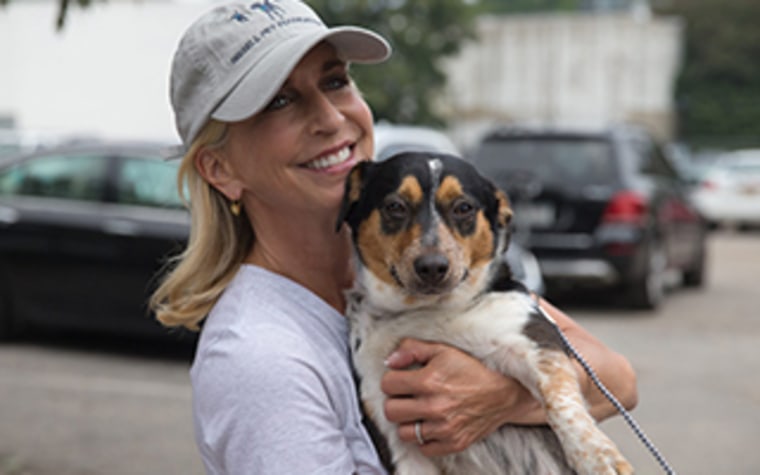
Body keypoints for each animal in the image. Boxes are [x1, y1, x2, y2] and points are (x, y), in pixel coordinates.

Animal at [336, 153, 632, 475]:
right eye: (395, 206)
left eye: (463, 208)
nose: (432, 266)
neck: (427, 310)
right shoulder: (390, 425)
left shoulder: (534, 339)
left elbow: (561, 400)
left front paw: (597, 456)